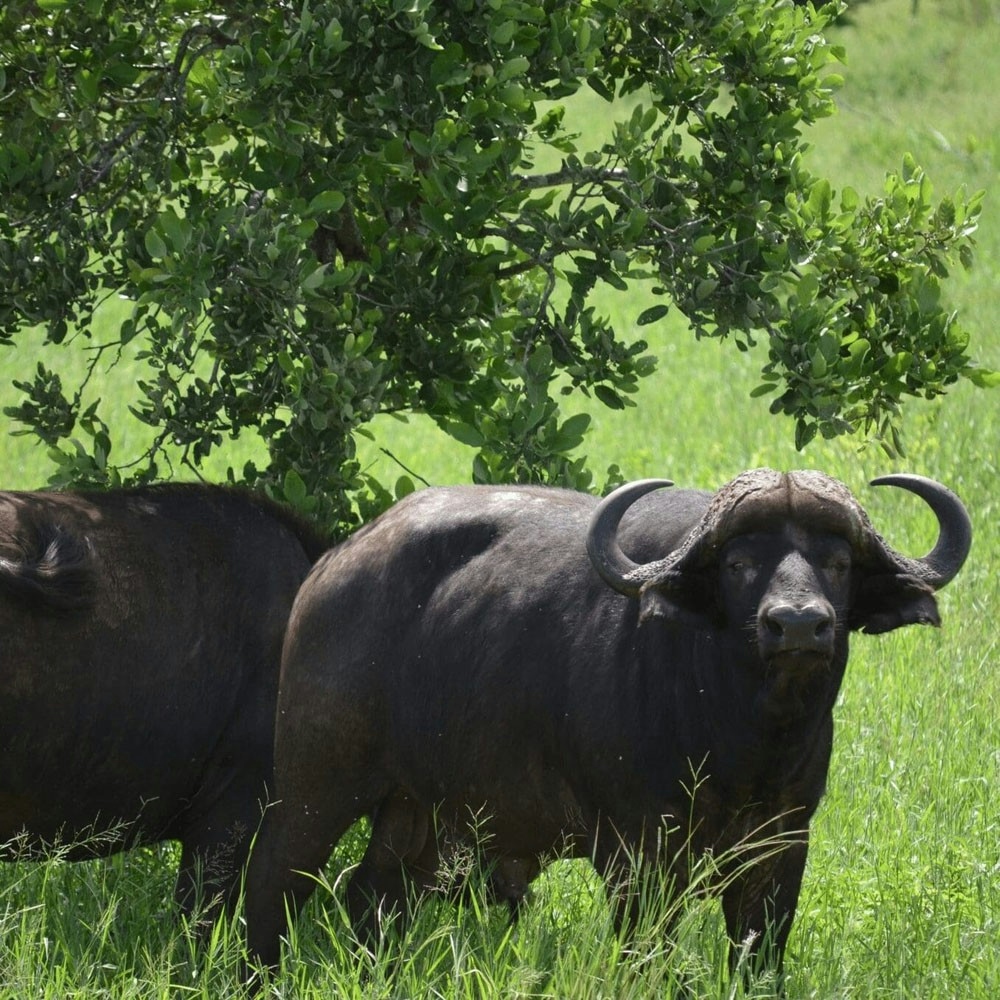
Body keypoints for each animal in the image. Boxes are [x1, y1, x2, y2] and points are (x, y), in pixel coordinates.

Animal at [242, 470, 968, 976]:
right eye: (739, 563)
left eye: (838, 562)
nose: (796, 625)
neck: (738, 740)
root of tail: (332, 567)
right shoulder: (638, 855)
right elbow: (648, 958)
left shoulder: (782, 848)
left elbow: (757, 957)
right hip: (318, 784)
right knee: (276, 882)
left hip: (424, 816)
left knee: (374, 897)